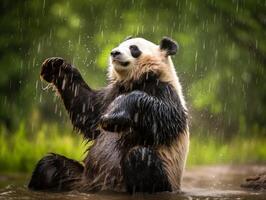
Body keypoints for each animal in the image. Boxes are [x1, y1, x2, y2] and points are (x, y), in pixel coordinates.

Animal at [28, 36, 189, 193]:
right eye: (120, 45)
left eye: (134, 48)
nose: (114, 52)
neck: (136, 79)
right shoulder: (111, 93)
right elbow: (88, 111)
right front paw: (54, 66)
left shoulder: (164, 89)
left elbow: (167, 116)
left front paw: (113, 118)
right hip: (79, 177)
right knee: (49, 166)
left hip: (164, 175)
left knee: (140, 157)